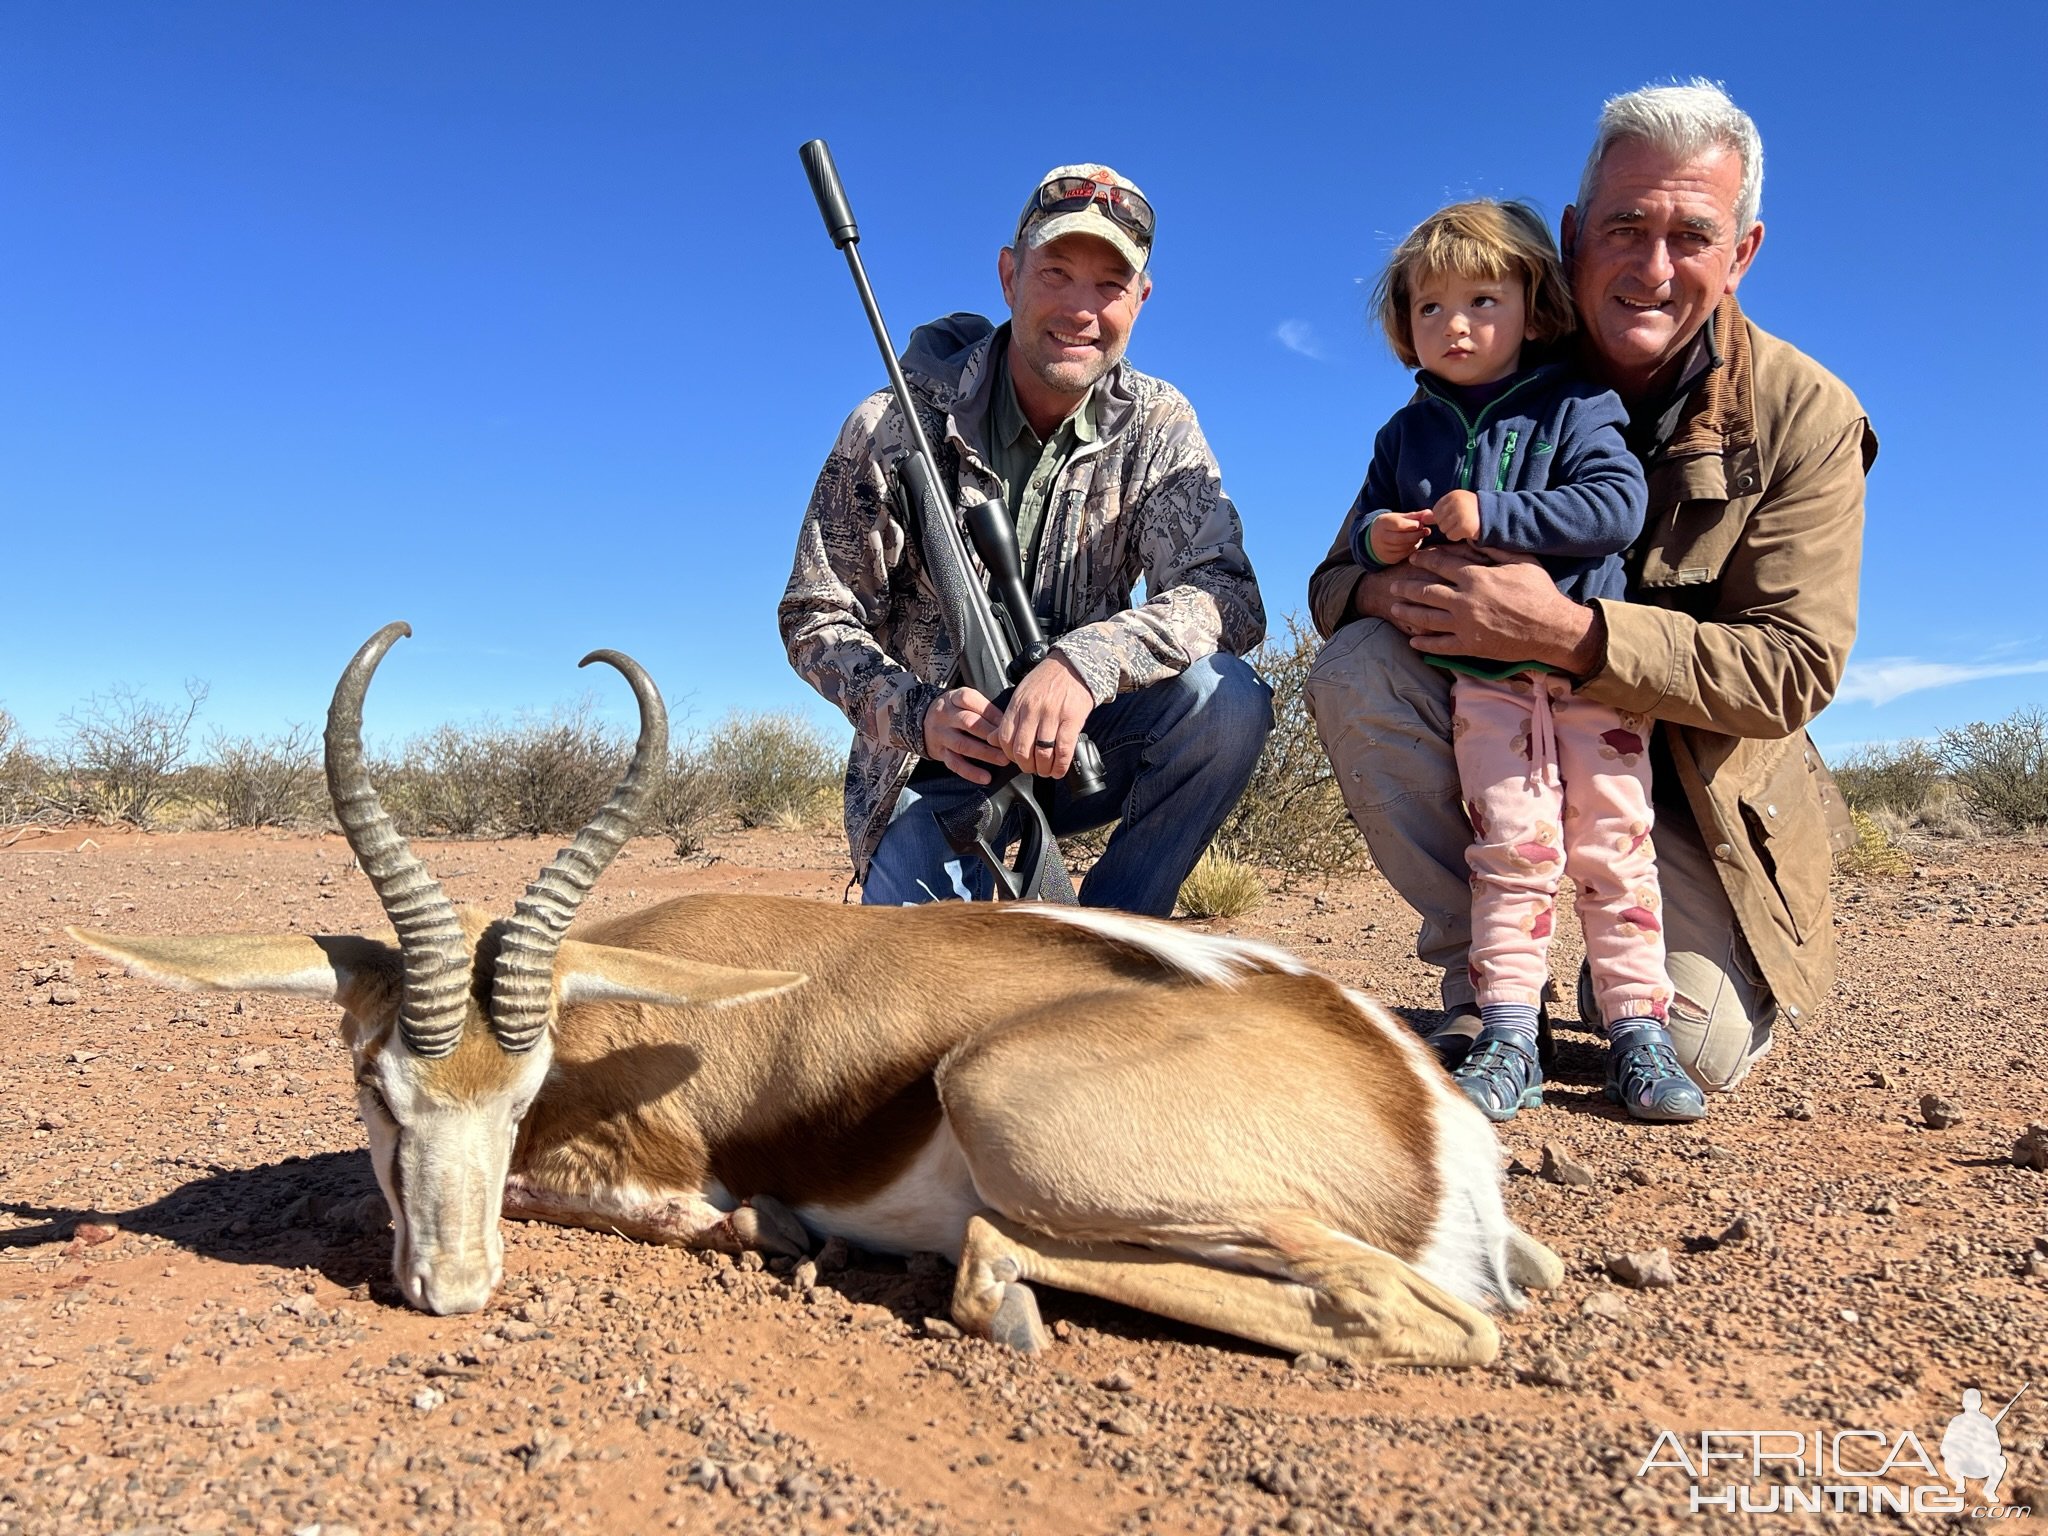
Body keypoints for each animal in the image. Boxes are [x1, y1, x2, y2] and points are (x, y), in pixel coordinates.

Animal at [72, 626, 1556, 1368]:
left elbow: (665, 1205)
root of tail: (1422, 1112)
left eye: (523, 1089)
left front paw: (759, 1227)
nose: (451, 1289)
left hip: (1011, 1107)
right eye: (377, 1089)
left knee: (1419, 1319)